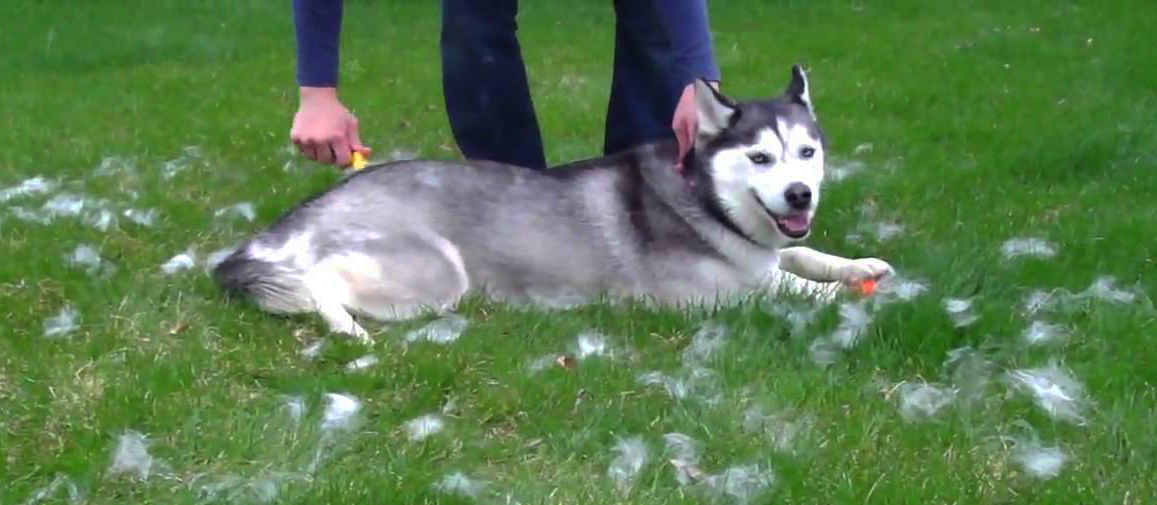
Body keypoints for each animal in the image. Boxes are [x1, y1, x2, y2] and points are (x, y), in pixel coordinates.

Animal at [210, 65, 893, 340]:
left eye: (806, 152)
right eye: (759, 158)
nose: (800, 193)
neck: (705, 200)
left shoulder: (768, 250)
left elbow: (804, 256)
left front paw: (860, 266)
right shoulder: (714, 295)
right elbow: (793, 285)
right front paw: (861, 295)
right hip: (432, 274)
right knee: (317, 282)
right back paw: (346, 327)